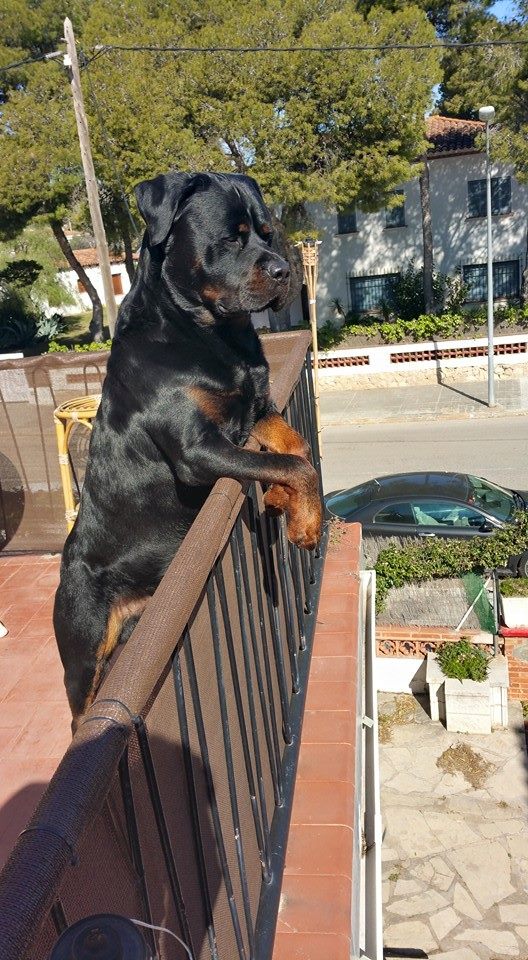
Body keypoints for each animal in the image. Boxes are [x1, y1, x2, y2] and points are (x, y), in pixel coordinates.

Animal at [55, 172, 324, 728]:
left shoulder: (257, 406)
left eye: (267, 232)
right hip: (85, 643)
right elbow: (289, 464)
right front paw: (306, 525)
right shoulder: (195, 450)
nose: (285, 270)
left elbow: (295, 449)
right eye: (231, 238)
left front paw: (284, 502)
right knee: (79, 711)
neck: (211, 335)